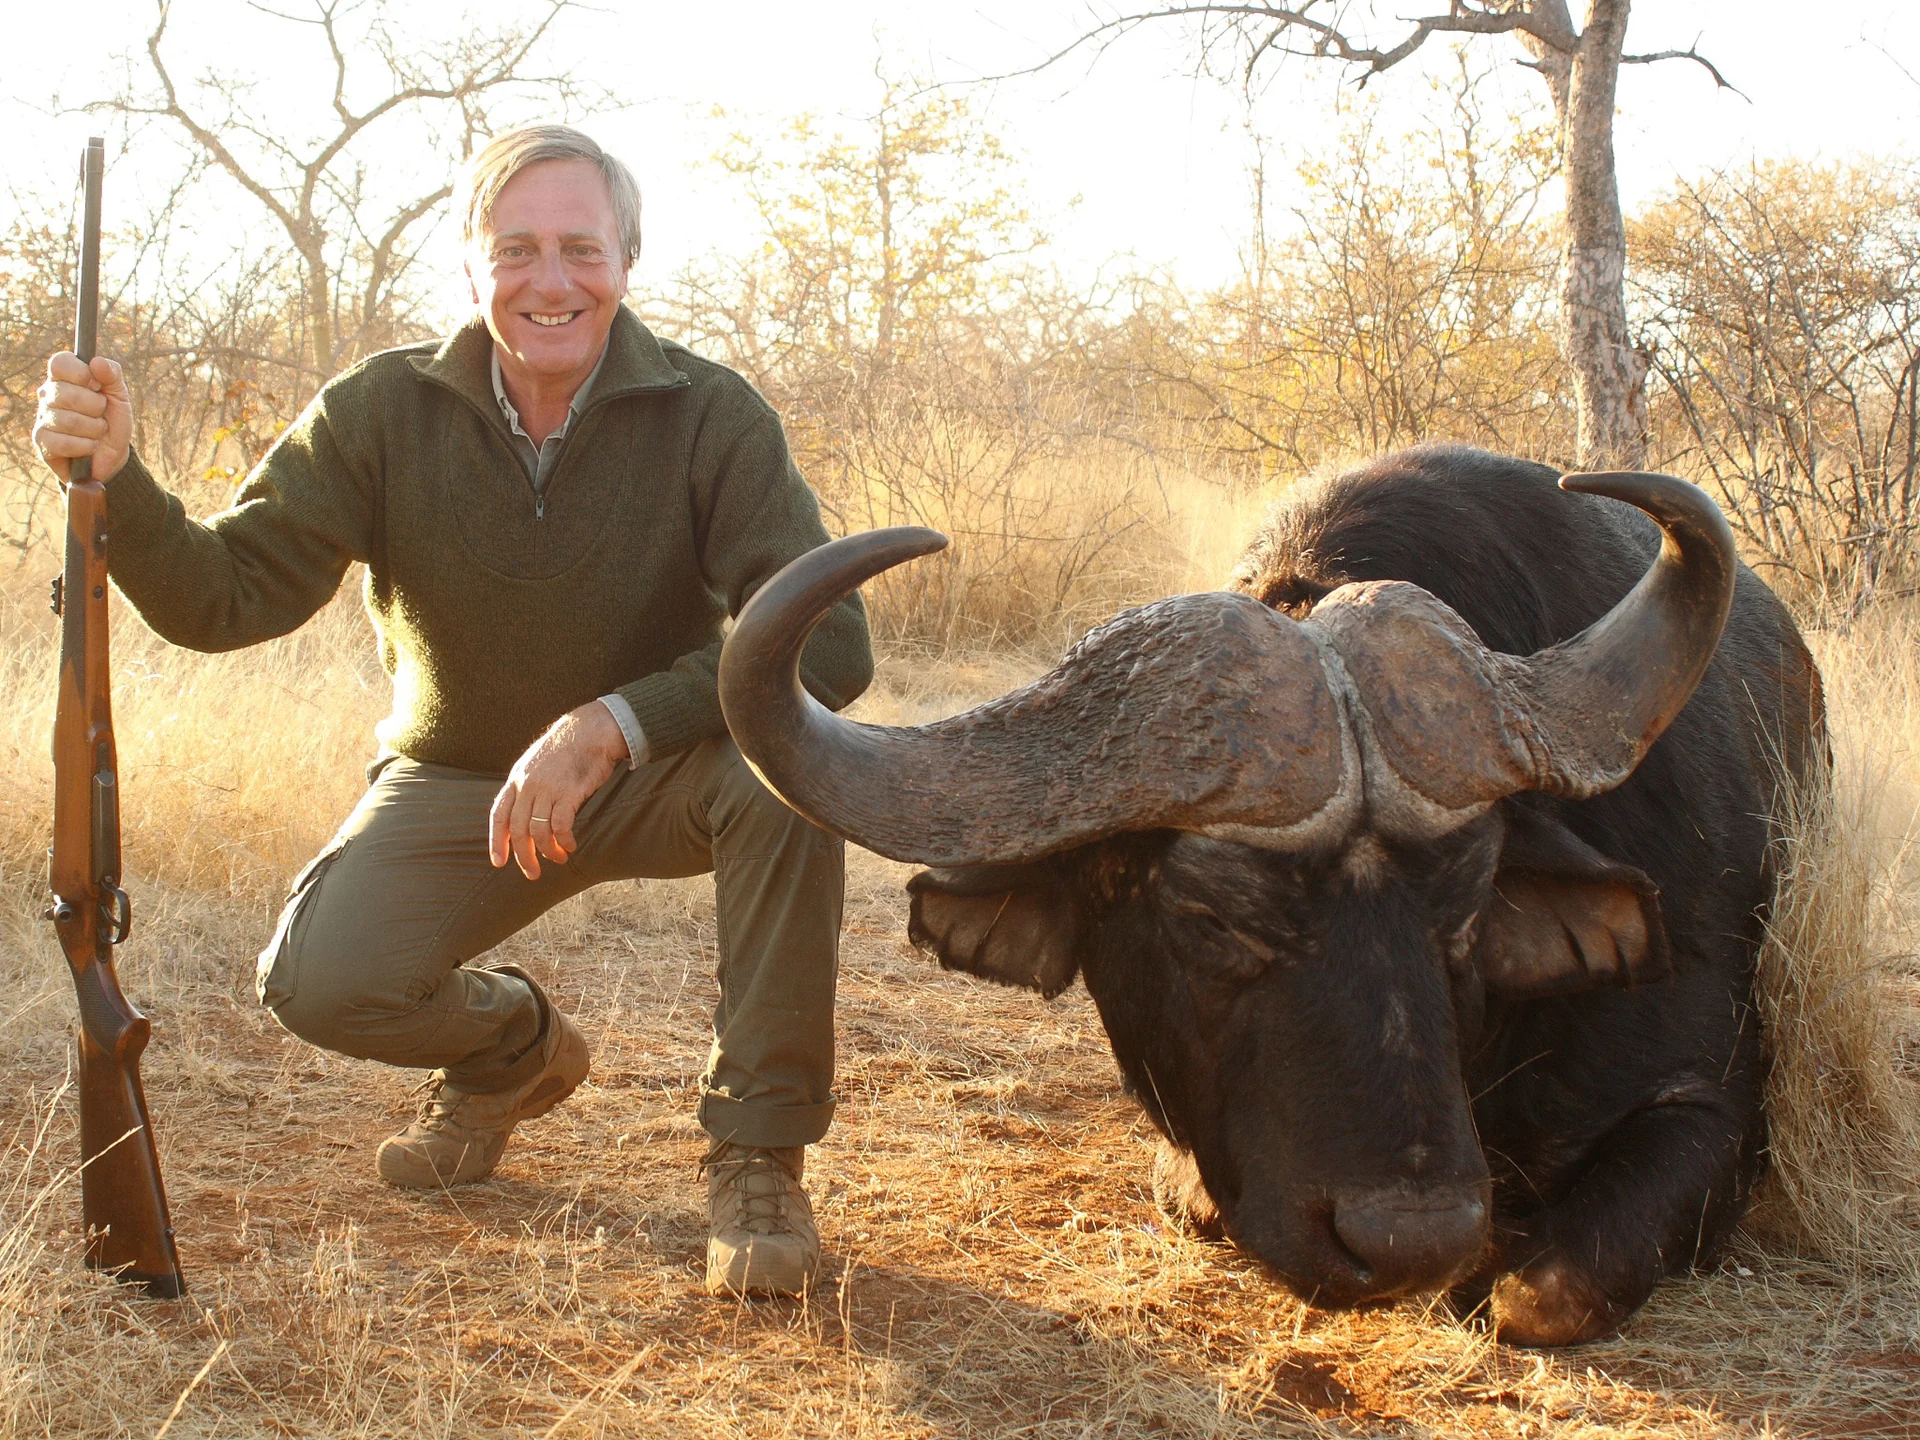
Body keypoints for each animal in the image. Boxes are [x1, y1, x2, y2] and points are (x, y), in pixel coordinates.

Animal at [717, 447, 1825, 1346]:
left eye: (1467, 905)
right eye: (1209, 918)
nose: (1411, 1241)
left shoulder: (1716, 1109)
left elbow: (1540, 1295)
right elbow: (1194, 1194)